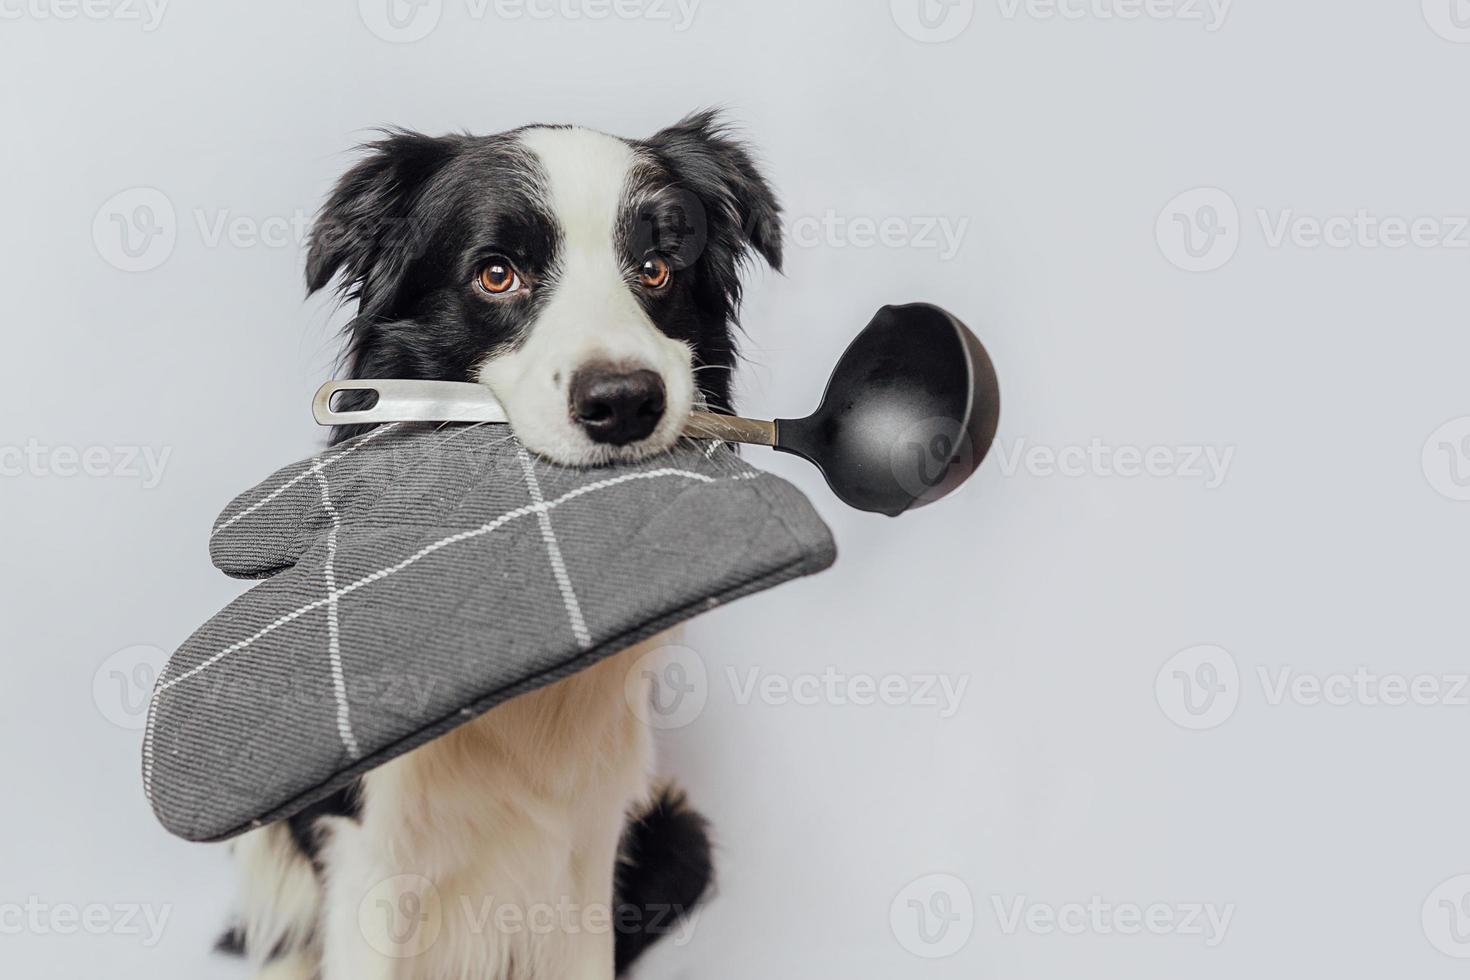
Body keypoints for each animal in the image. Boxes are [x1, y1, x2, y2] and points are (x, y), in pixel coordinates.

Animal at [220, 115, 782, 980]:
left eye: (656, 267)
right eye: (496, 274)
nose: (624, 402)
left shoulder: (590, 849)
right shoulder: (370, 850)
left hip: (676, 840)